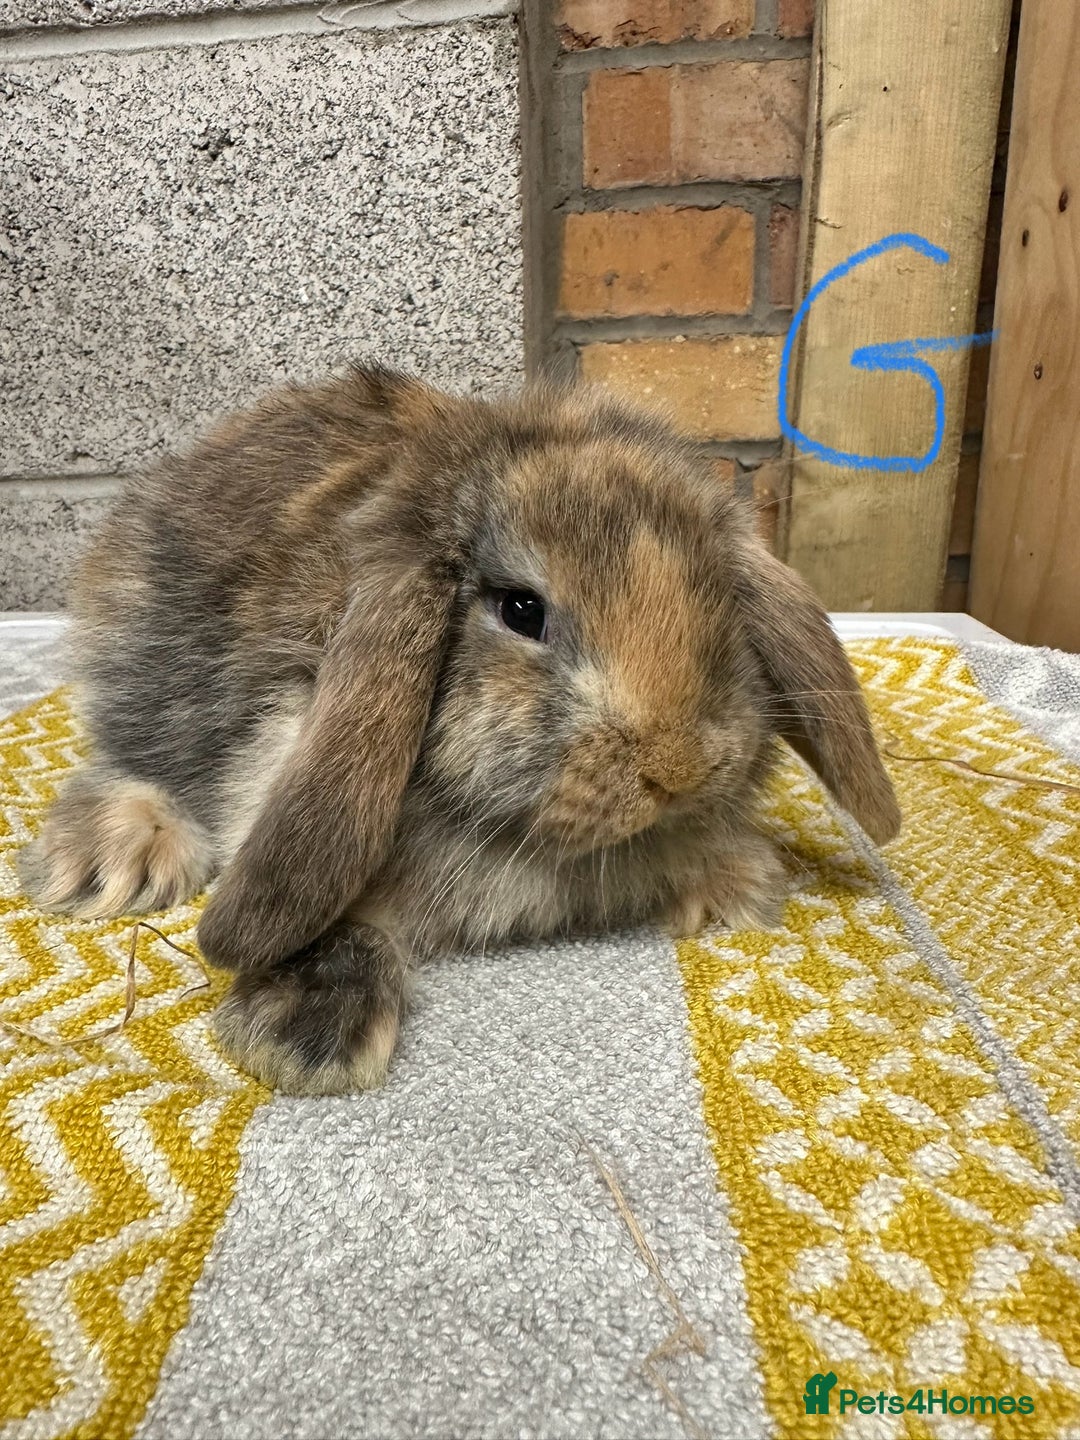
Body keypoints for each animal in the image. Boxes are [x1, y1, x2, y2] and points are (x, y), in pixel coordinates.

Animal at [20, 364, 901, 1095]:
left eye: (715, 594)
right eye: (521, 609)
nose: (677, 767)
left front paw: (732, 886)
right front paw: (305, 1038)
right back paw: (111, 859)